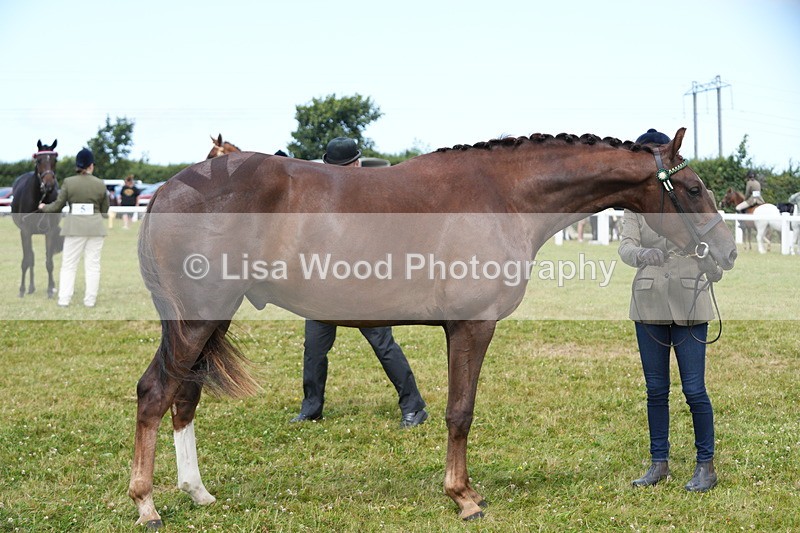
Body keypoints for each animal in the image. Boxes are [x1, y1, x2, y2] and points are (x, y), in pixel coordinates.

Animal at [11, 140, 62, 298]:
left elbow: (49, 261)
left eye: (55, 160)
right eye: (39, 160)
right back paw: (30, 287)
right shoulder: (25, 232)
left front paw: (50, 289)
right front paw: (22, 289)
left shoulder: (50, 232)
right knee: (31, 258)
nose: (49, 185)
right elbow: (26, 260)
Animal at [129, 127, 737, 528]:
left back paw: (197, 493)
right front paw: (464, 497)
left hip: (206, 321)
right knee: (156, 393)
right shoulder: (472, 326)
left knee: (184, 398)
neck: (503, 196)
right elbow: (460, 412)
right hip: (198, 317)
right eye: (692, 188)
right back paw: (147, 504)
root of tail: (168, 189)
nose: (727, 252)